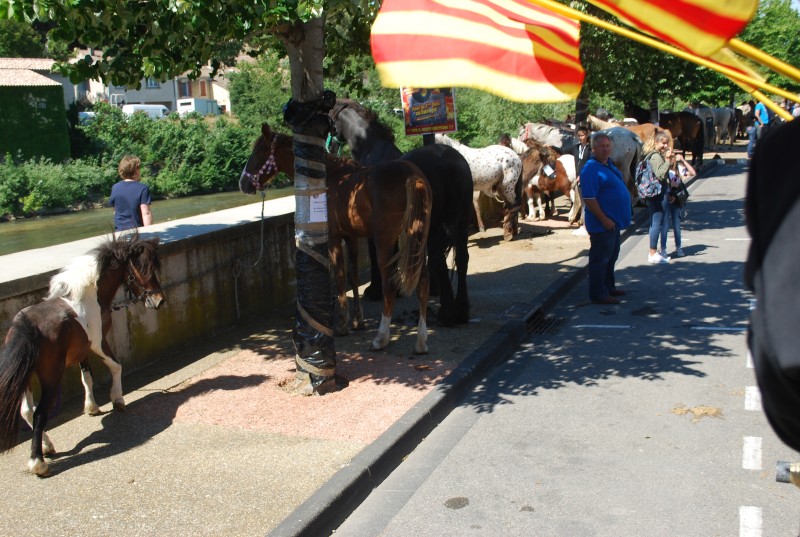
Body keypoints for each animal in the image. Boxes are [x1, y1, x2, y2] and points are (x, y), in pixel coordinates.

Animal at [0, 232, 165, 476]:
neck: (88, 297)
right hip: (50, 377)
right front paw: (118, 399)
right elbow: (116, 366)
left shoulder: (83, 351)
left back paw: (47, 446)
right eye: (143, 270)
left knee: (27, 411)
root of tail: (26, 325)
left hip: (27, 377)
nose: (159, 300)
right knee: (39, 413)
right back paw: (38, 462)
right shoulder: (98, 343)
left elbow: (86, 377)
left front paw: (92, 407)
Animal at [241, 123, 434, 354]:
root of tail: (413, 176)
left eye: (260, 151)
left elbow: (340, 276)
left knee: (389, 285)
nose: (243, 183)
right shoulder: (351, 237)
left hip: (385, 241)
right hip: (417, 238)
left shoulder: (334, 237)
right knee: (423, 282)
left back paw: (381, 338)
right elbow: (353, 276)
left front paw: (342, 324)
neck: (331, 177)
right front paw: (357, 321)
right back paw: (421, 340)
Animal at [328, 101, 472, 326]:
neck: (371, 149)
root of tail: (446, 162)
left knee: (440, 259)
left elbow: (377, 257)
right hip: (461, 221)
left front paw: (376, 290)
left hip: (433, 225)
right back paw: (462, 309)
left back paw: (447, 313)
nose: (331, 148)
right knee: (462, 258)